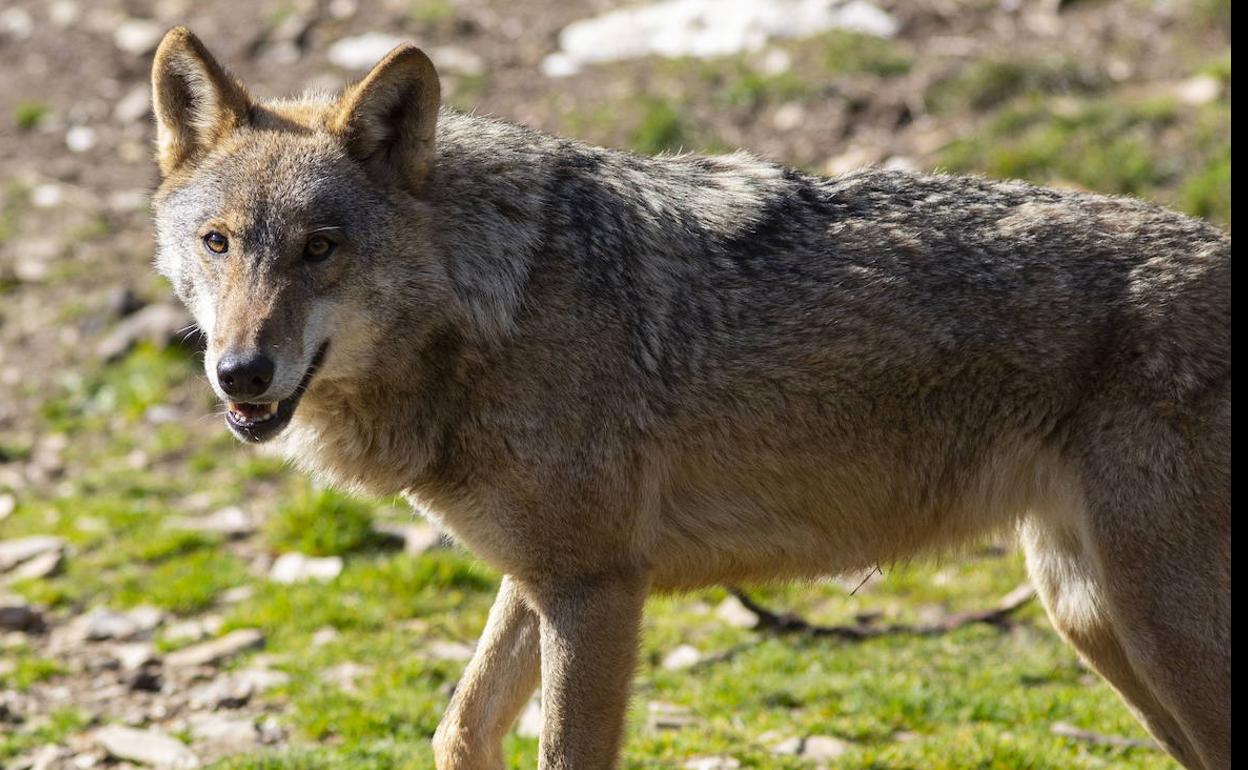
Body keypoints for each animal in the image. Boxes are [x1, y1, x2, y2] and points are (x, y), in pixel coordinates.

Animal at [151, 26, 1233, 768]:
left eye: (320, 248)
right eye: (219, 243)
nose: (241, 373)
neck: (497, 303)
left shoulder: (596, 590)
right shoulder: (540, 577)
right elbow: (458, 729)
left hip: (1149, 624)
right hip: (1089, 616)